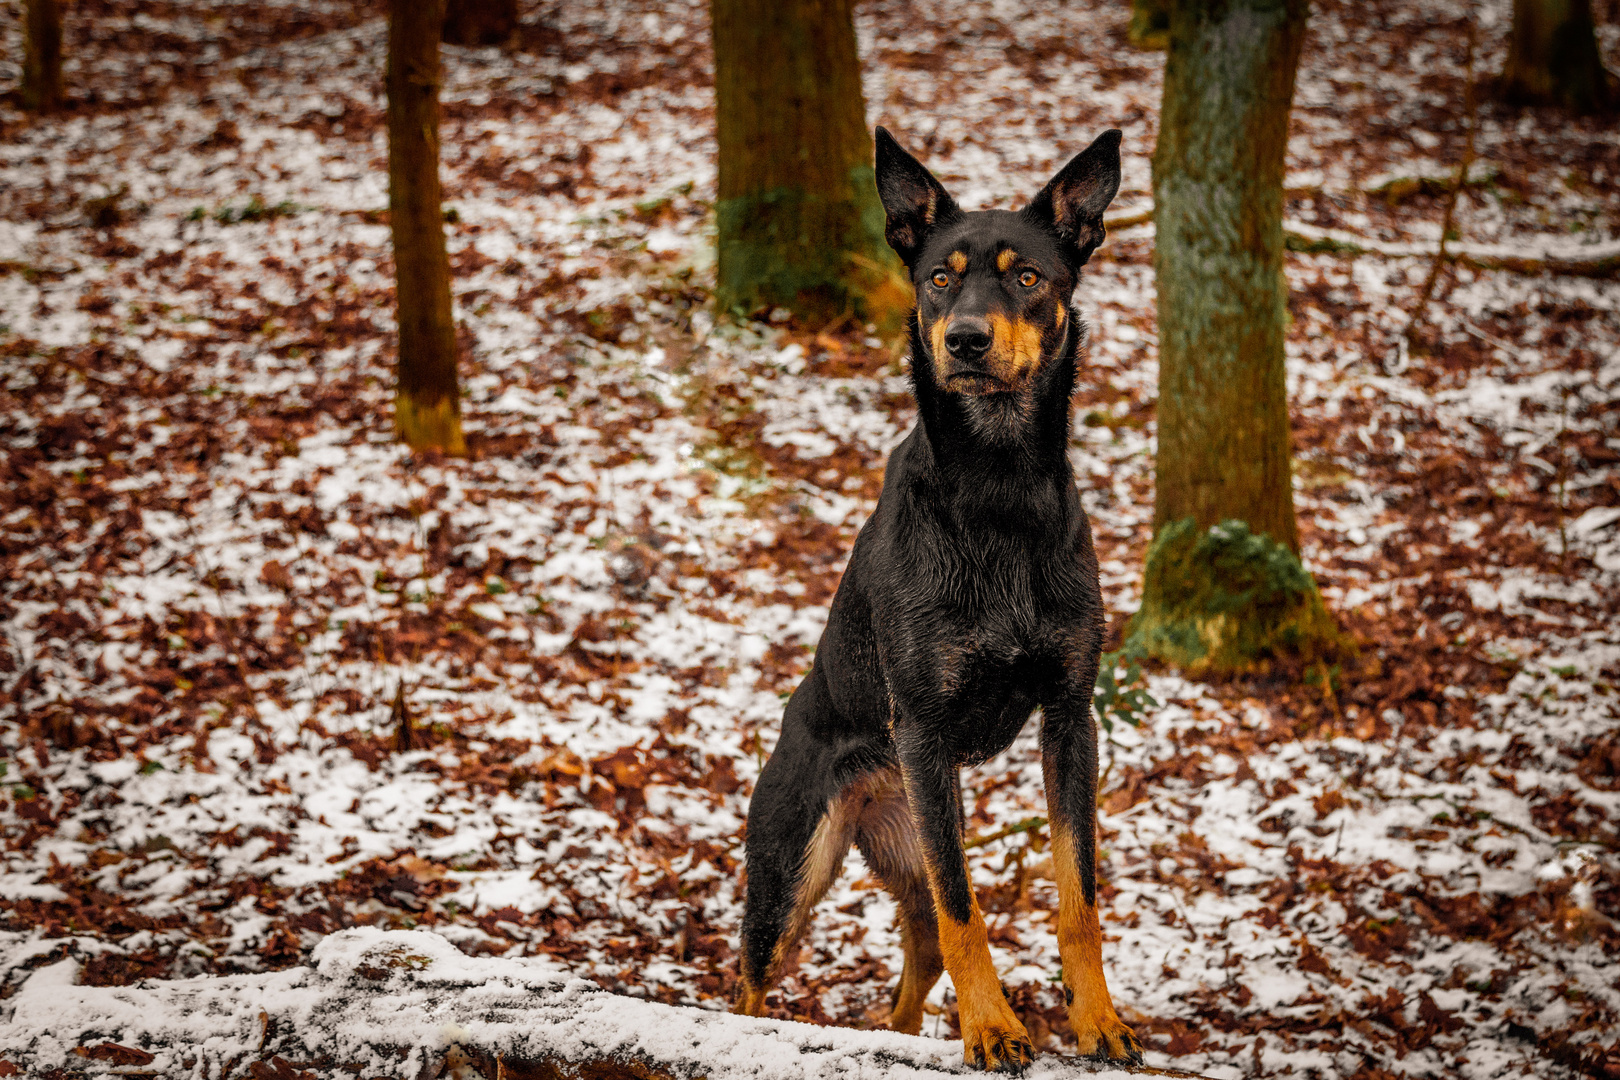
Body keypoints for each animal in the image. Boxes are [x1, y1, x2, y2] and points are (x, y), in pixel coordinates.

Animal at [735, 128, 1140, 1075]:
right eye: (938, 279)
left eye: (1027, 277)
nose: (964, 341)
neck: (998, 492)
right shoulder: (923, 730)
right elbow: (968, 910)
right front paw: (992, 1027)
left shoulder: (1070, 717)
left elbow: (1079, 896)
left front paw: (1096, 1017)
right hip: (799, 859)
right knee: (752, 974)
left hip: (906, 834)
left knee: (918, 943)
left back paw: (899, 1030)